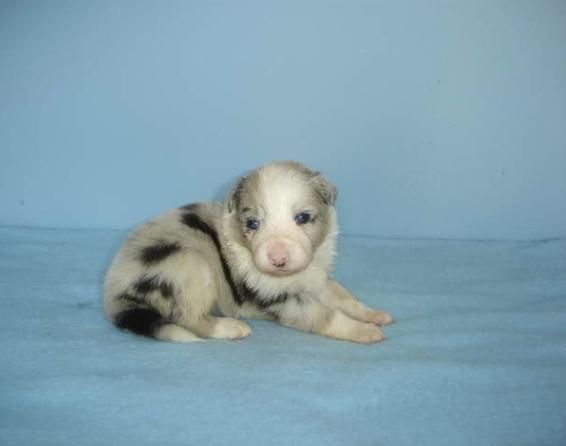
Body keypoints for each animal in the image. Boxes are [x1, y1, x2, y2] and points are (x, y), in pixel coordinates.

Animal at [104, 162, 392, 344]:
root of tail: (115, 292)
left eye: (303, 218)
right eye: (253, 224)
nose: (278, 260)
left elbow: (344, 297)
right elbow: (327, 315)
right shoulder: (278, 299)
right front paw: (365, 332)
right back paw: (231, 327)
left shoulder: (315, 277)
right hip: (192, 265)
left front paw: (373, 315)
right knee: (189, 318)